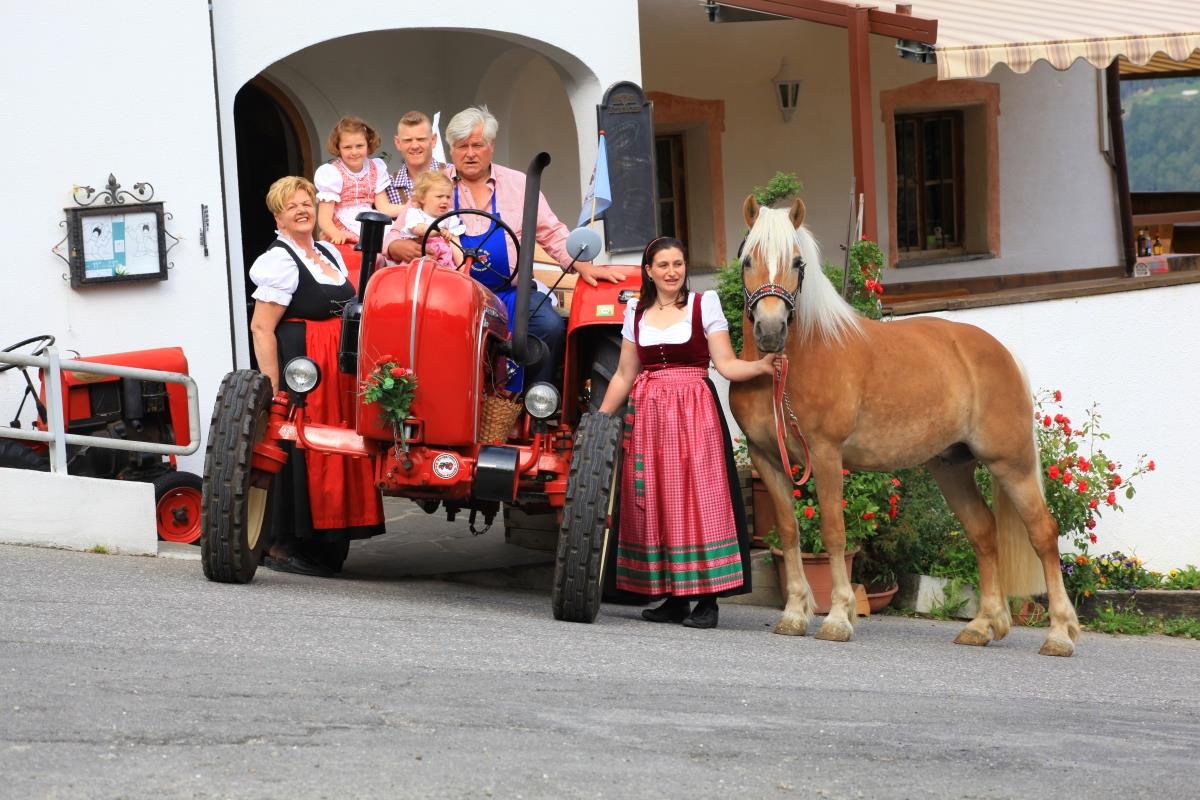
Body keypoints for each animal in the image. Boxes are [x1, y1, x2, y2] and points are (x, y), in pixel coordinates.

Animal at [724, 195, 1084, 657]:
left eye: (797, 262)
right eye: (748, 258)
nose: (771, 330)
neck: (790, 364)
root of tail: (1000, 352)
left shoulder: (825, 453)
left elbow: (834, 532)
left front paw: (838, 618)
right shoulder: (766, 458)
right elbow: (788, 532)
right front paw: (794, 615)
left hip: (1011, 464)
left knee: (1042, 533)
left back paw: (1059, 633)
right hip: (952, 467)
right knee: (984, 533)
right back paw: (983, 625)